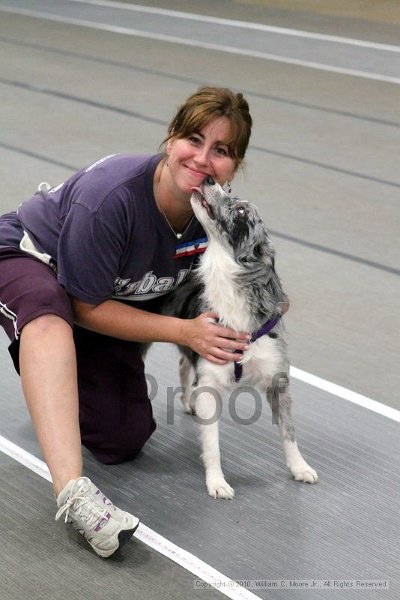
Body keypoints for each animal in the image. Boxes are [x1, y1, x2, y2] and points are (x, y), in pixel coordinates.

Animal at [164, 177, 318, 496]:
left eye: (242, 212)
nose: (209, 178)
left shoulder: (278, 379)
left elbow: (289, 432)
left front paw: (299, 467)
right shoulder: (209, 383)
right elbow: (212, 445)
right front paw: (216, 482)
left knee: (184, 363)